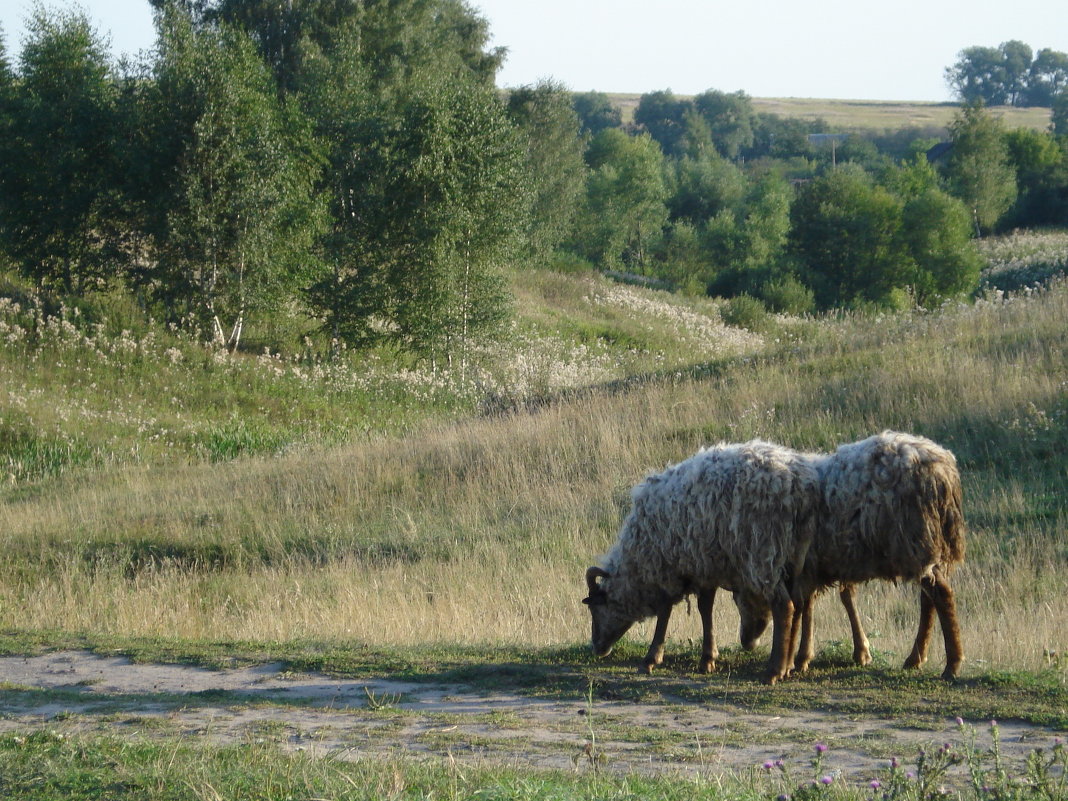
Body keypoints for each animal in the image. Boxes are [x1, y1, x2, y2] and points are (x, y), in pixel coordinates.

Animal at [585, 442, 815, 687]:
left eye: (594, 607)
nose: (597, 648)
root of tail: (798, 483)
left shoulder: (675, 567)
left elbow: (669, 610)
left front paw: (653, 658)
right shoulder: (704, 565)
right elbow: (704, 608)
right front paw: (708, 658)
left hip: (764, 552)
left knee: (785, 605)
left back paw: (776, 669)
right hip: (797, 560)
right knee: (803, 602)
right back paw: (795, 661)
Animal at [734, 433, 969, 683]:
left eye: (741, 602)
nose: (746, 642)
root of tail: (944, 470)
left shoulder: (805, 567)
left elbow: (809, 605)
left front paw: (801, 658)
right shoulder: (813, 566)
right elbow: (814, 604)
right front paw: (808, 656)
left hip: (914, 541)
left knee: (942, 594)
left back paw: (952, 664)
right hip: (924, 547)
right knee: (929, 597)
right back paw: (916, 657)